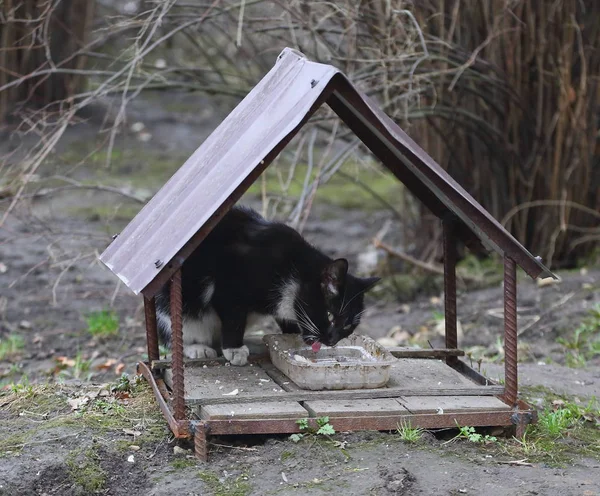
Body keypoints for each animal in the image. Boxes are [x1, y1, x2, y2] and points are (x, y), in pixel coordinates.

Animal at [156, 205, 380, 364]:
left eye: (349, 325)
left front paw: (289, 335)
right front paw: (234, 349)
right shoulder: (228, 286)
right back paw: (197, 347)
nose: (332, 341)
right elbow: (233, 317)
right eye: (330, 315)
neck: (293, 269)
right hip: (173, 303)